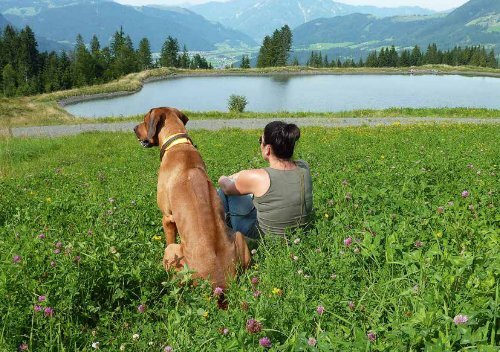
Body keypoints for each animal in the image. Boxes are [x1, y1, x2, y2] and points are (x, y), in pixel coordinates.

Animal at [134, 108, 250, 294]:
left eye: (144, 120)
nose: (133, 128)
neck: (178, 143)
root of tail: (220, 284)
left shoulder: (167, 217)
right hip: (238, 237)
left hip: (172, 251)